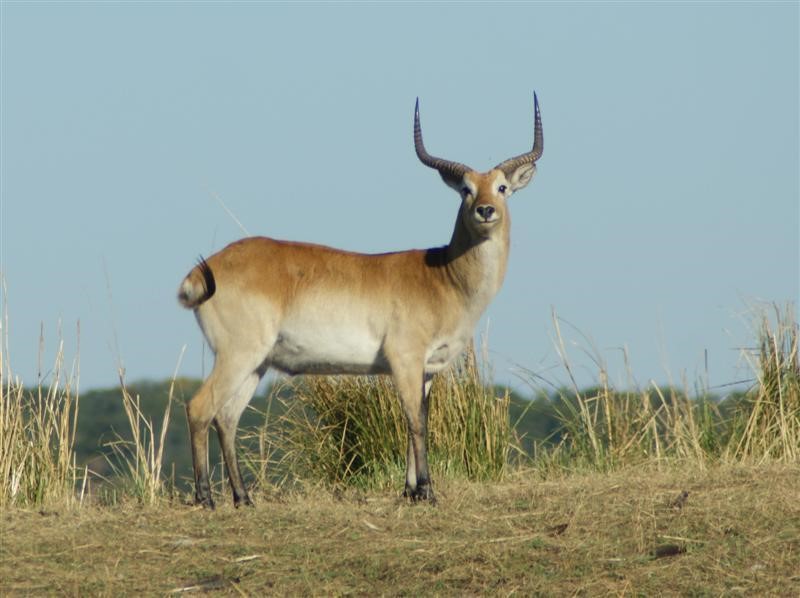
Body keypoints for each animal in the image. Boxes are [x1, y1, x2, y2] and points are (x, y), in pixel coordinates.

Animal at [180, 95, 544, 510]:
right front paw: (427, 491)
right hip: (239, 354)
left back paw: (243, 498)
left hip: (256, 364)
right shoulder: (405, 359)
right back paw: (206, 498)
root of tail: (207, 268)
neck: (442, 275)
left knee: (226, 417)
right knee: (199, 407)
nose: (486, 210)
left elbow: (418, 417)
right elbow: (415, 422)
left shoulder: (427, 370)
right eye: (465, 189)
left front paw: (411, 490)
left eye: (502, 187)